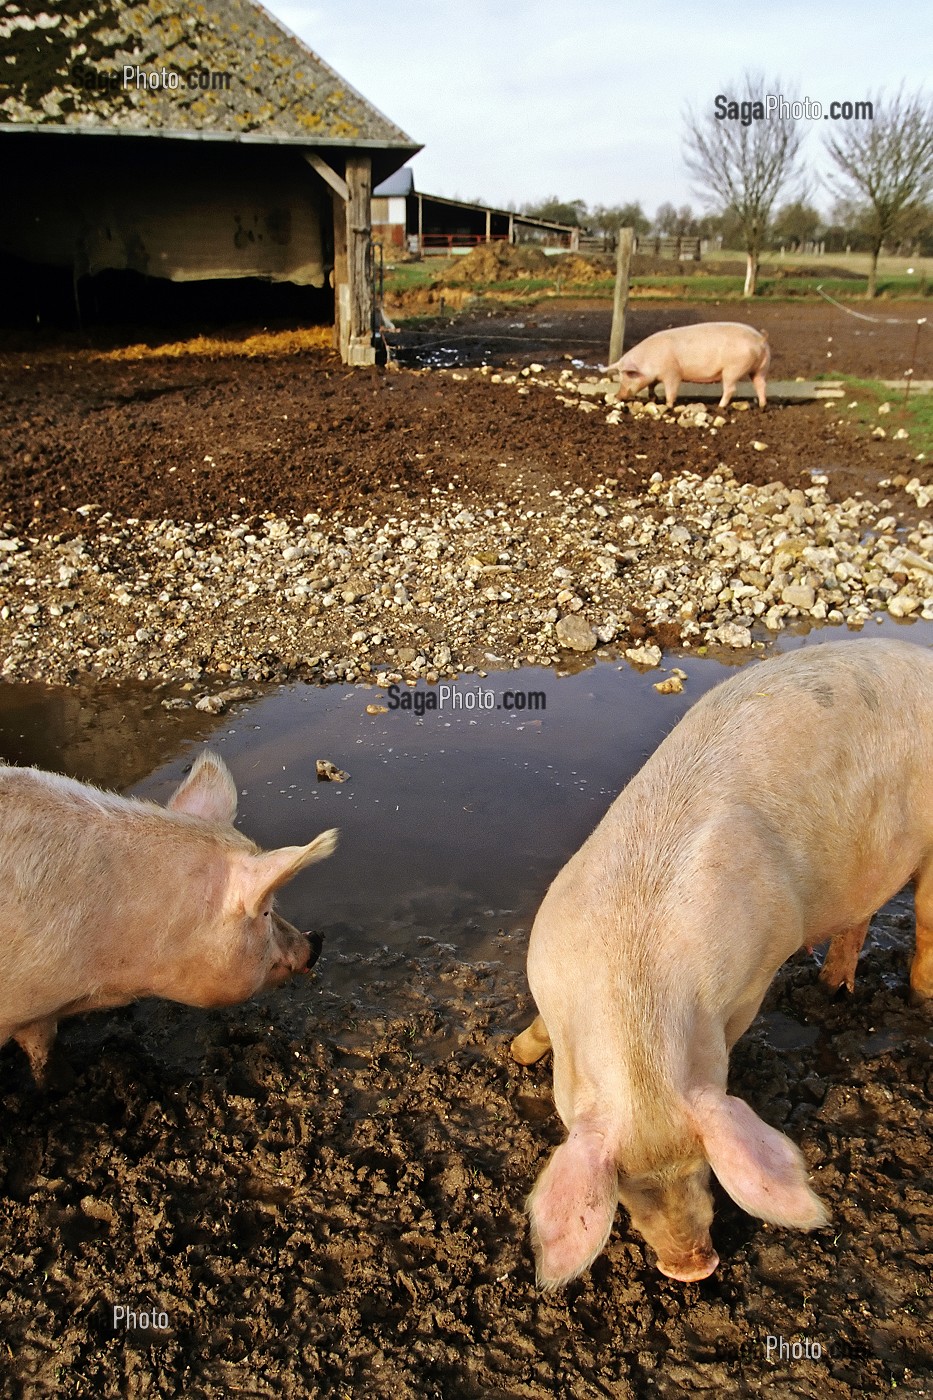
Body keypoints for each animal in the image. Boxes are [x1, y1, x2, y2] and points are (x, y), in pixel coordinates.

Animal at [512, 639, 933, 1286]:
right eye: (625, 1189)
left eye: (704, 1167)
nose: (693, 1267)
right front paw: (513, 1053)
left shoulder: (752, 982)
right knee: (857, 922)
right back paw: (832, 988)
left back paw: (918, 1002)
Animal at [606, 321, 770, 408]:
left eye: (629, 375)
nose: (618, 395)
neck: (649, 360)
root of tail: (760, 339)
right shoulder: (656, 376)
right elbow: (652, 386)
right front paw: (653, 399)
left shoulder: (672, 373)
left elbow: (671, 390)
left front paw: (668, 406)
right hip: (761, 367)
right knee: (761, 385)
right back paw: (762, 406)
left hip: (732, 369)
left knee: (731, 389)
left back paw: (720, 406)